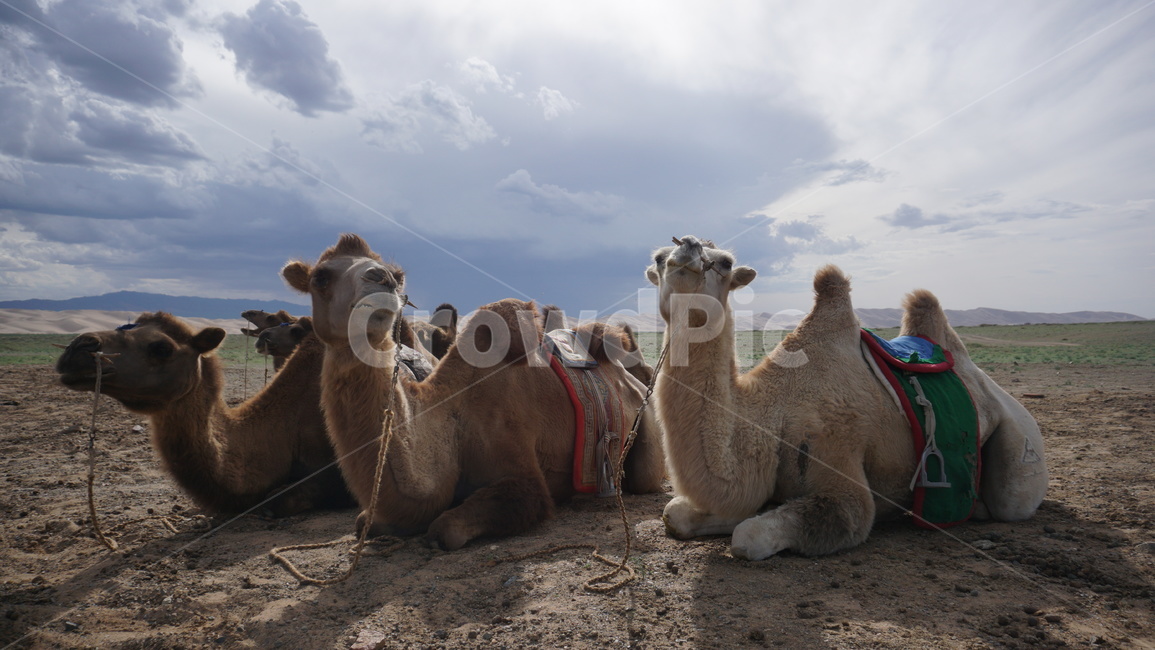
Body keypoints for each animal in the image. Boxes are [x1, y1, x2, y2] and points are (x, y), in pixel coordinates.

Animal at [280, 233, 665, 550]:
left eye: (396, 274)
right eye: (321, 277)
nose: (381, 279)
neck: (453, 417)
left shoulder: (521, 468)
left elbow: (446, 529)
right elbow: (364, 521)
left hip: (646, 434)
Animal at [647, 236, 1047, 560]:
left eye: (726, 263)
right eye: (659, 257)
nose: (687, 249)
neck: (772, 413)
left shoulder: (838, 456)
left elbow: (750, 536)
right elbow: (675, 515)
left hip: (1020, 441)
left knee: (1011, 501)